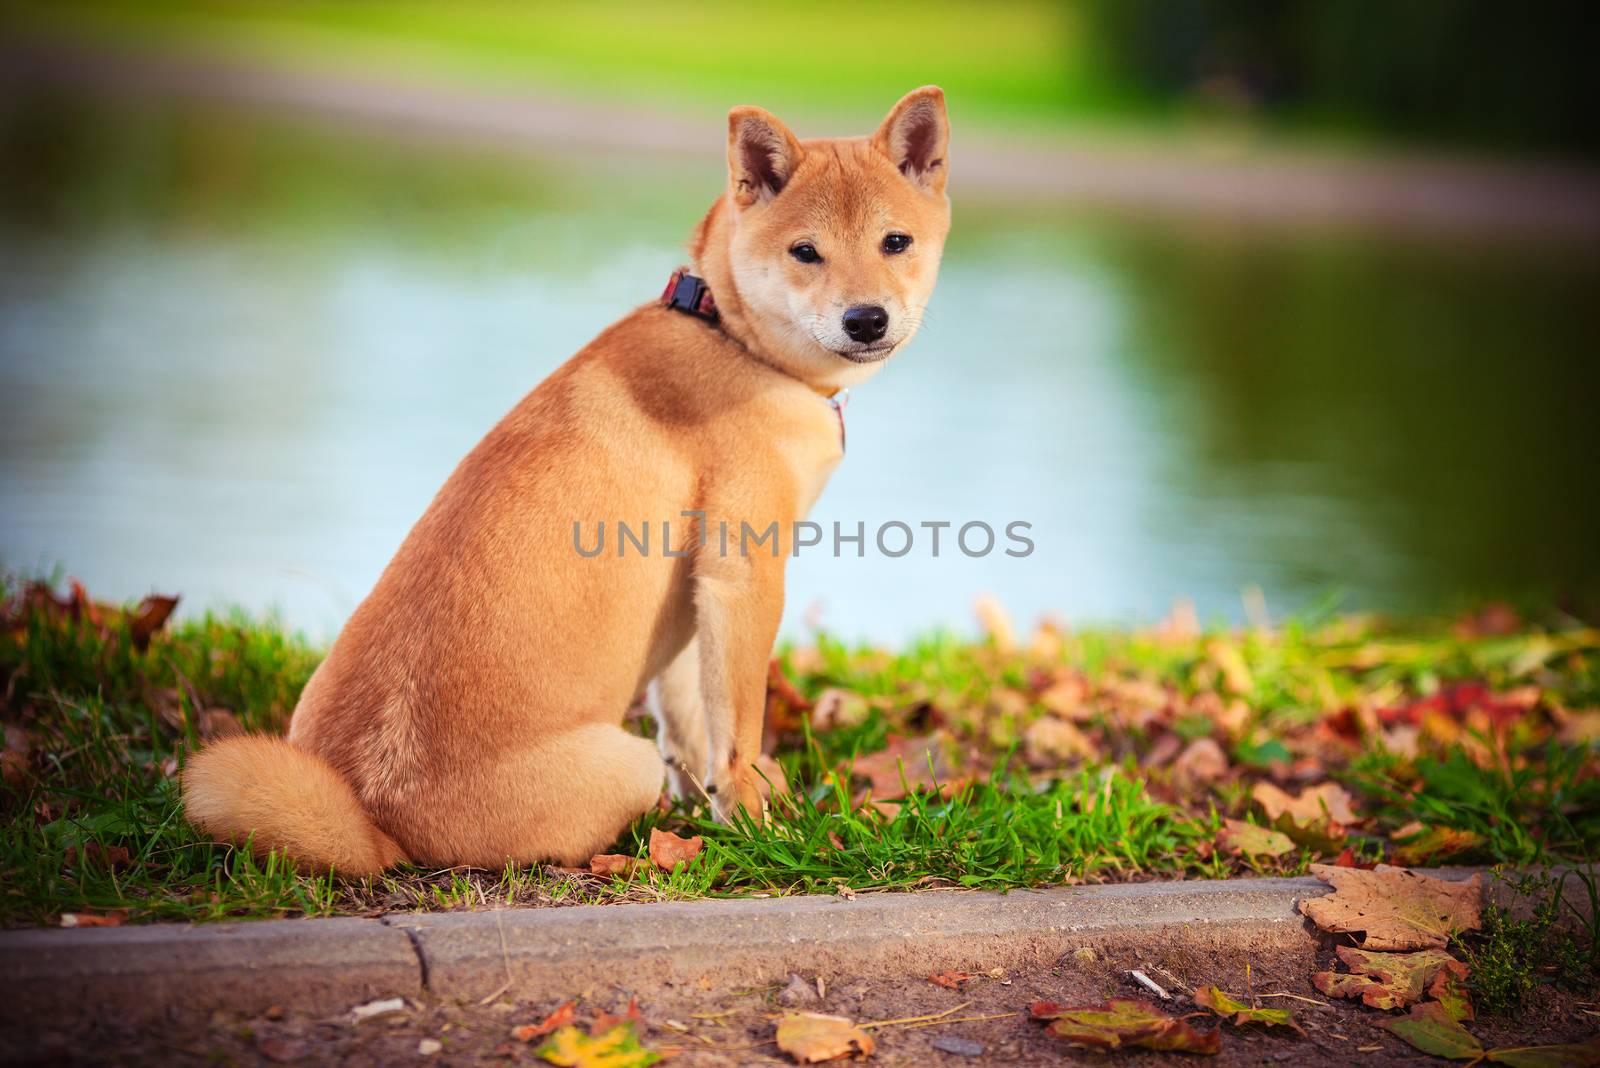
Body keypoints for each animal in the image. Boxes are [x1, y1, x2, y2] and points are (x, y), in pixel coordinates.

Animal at [183, 87, 947, 876]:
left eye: (895, 242)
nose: (867, 319)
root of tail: (373, 821)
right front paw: (763, 827)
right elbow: (737, 728)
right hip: (624, 761)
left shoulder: (696, 589)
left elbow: (692, 720)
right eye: (805, 252)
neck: (731, 337)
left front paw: (715, 812)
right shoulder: (744, 572)